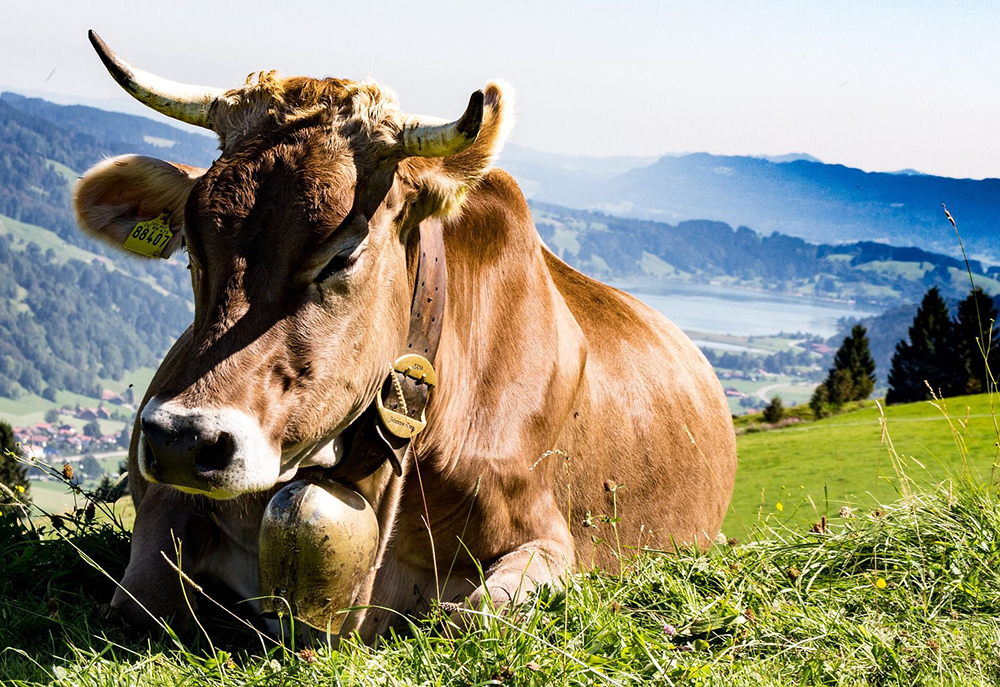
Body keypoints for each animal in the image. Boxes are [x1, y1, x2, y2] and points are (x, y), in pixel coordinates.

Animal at [74, 32, 740, 644]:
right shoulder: (164, 505)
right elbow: (138, 600)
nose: (184, 440)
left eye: (342, 256)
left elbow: (474, 615)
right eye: (193, 249)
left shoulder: (549, 539)